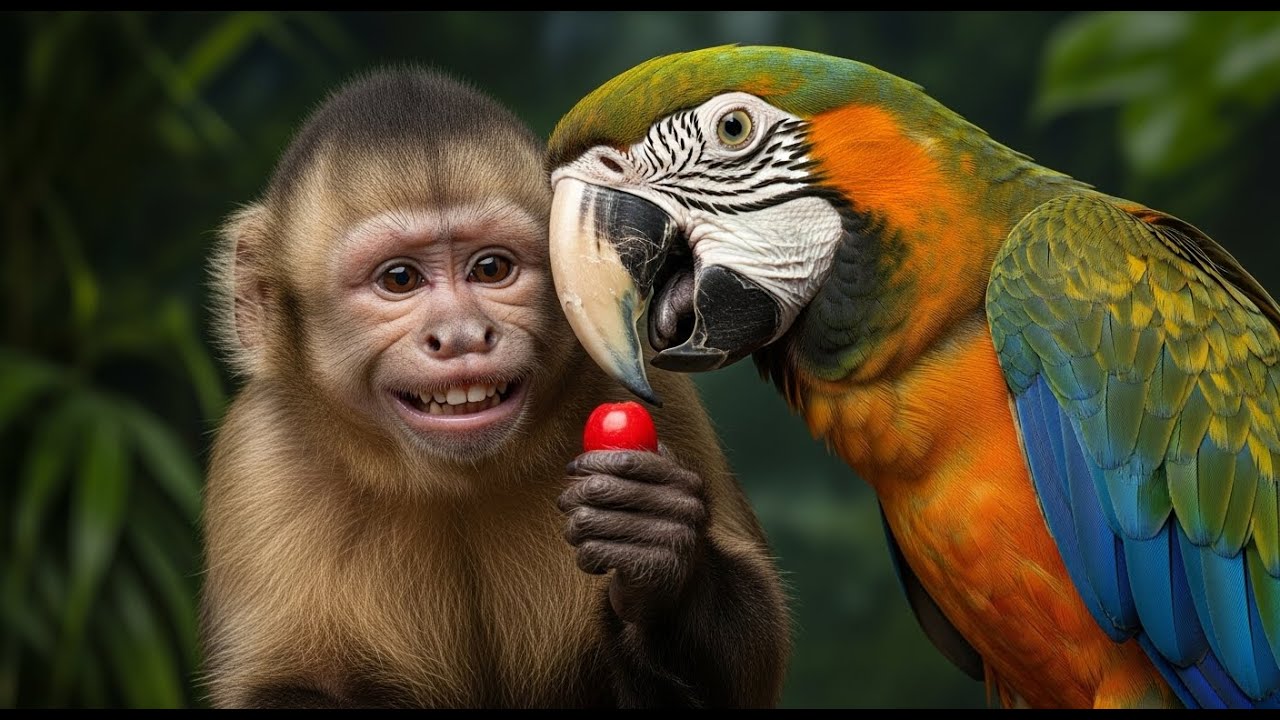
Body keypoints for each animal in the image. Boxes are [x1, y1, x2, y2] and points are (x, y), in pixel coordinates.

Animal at [198, 66, 791, 709]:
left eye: (491, 269)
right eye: (399, 279)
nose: (461, 336)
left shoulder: (642, 380)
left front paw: (660, 558)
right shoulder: (261, 460)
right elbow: (285, 686)